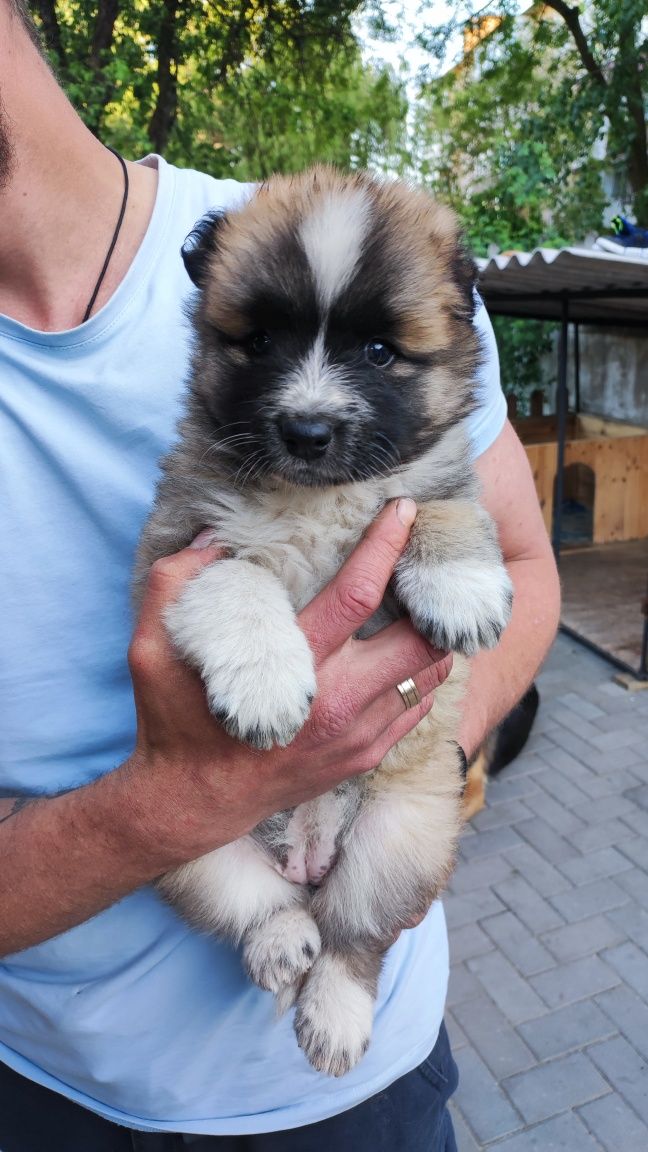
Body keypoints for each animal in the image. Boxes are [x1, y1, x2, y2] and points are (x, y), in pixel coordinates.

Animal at [134, 167, 509, 1073]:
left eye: (379, 352)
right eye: (262, 341)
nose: (307, 429)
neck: (315, 498)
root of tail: (304, 848)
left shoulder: (432, 482)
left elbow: (438, 507)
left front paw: (462, 587)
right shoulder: (185, 540)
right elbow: (238, 578)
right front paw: (268, 683)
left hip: (403, 837)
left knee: (353, 939)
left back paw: (334, 1013)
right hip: (186, 843)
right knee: (263, 908)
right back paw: (280, 945)